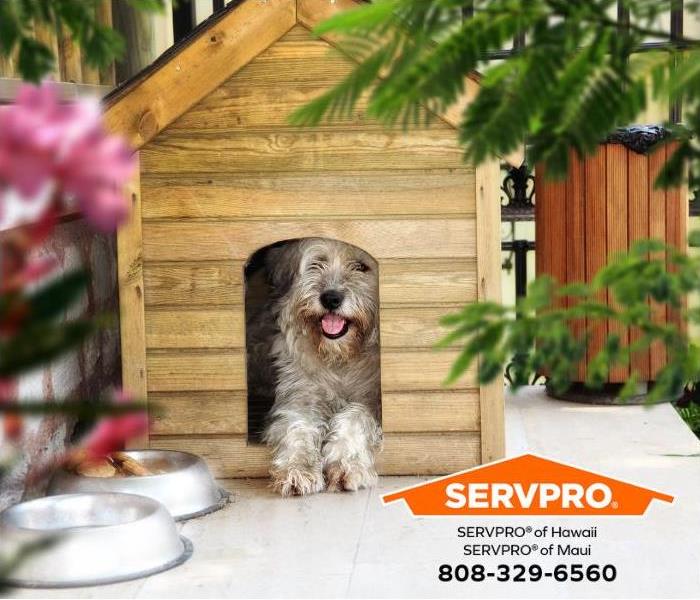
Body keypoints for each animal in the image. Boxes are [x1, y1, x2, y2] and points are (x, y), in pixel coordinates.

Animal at [249, 239, 382, 496]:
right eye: (317, 263)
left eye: (361, 266)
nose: (331, 298)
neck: (340, 356)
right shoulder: (299, 396)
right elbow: (297, 427)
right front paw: (298, 468)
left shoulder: (373, 401)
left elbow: (355, 418)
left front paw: (345, 465)